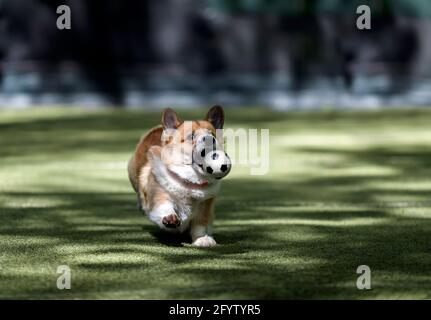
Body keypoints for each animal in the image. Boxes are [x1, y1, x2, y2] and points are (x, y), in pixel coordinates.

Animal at [127, 106, 231, 246]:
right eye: (191, 136)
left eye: (213, 134)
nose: (210, 138)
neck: (190, 181)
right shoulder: (159, 195)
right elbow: (164, 206)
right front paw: (169, 218)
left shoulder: (204, 206)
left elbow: (201, 224)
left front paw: (202, 239)